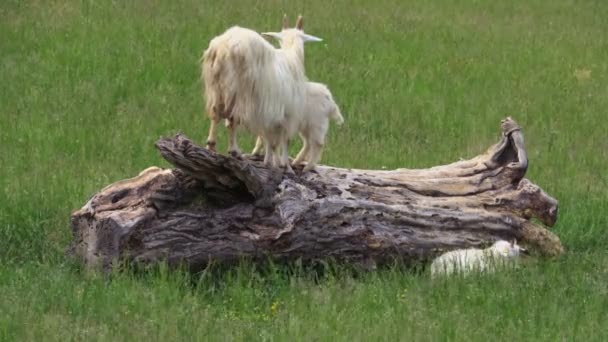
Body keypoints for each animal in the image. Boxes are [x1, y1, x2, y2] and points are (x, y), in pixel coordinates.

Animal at [200, 14, 324, 170]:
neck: (292, 57)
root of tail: (223, 47)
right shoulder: (287, 112)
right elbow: (283, 139)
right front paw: (282, 163)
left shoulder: (268, 112)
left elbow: (267, 136)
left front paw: (265, 156)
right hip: (239, 91)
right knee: (233, 119)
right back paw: (234, 150)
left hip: (215, 87)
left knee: (216, 114)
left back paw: (211, 145)